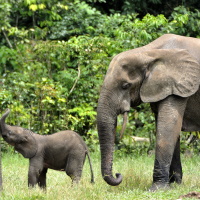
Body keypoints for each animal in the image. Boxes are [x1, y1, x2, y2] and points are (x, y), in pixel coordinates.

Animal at [96, 33, 200, 191]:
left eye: (125, 86)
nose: (118, 174)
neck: (147, 52)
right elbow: (169, 129)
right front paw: (175, 185)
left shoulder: (178, 84)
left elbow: (168, 126)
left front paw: (157, 189)